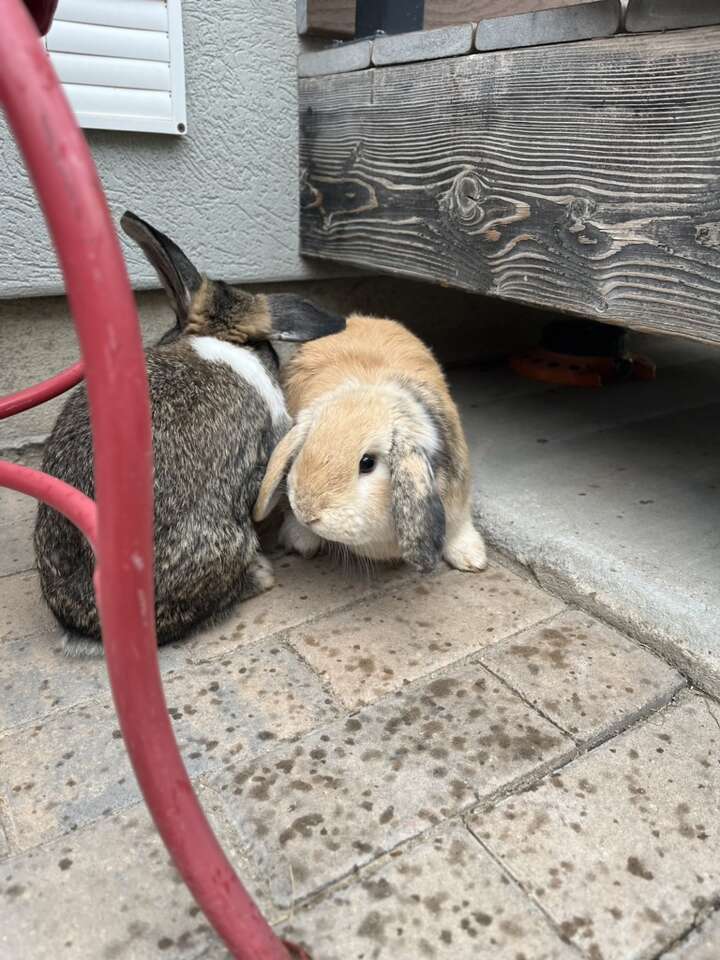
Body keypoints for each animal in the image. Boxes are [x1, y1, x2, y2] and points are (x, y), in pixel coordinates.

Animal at [250, 316, 486, 572]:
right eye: (304, 449)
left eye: (367, 463)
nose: (308, 512)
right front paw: (299, 541)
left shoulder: (458, 490)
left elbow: (458, 524)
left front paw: (473, 559)